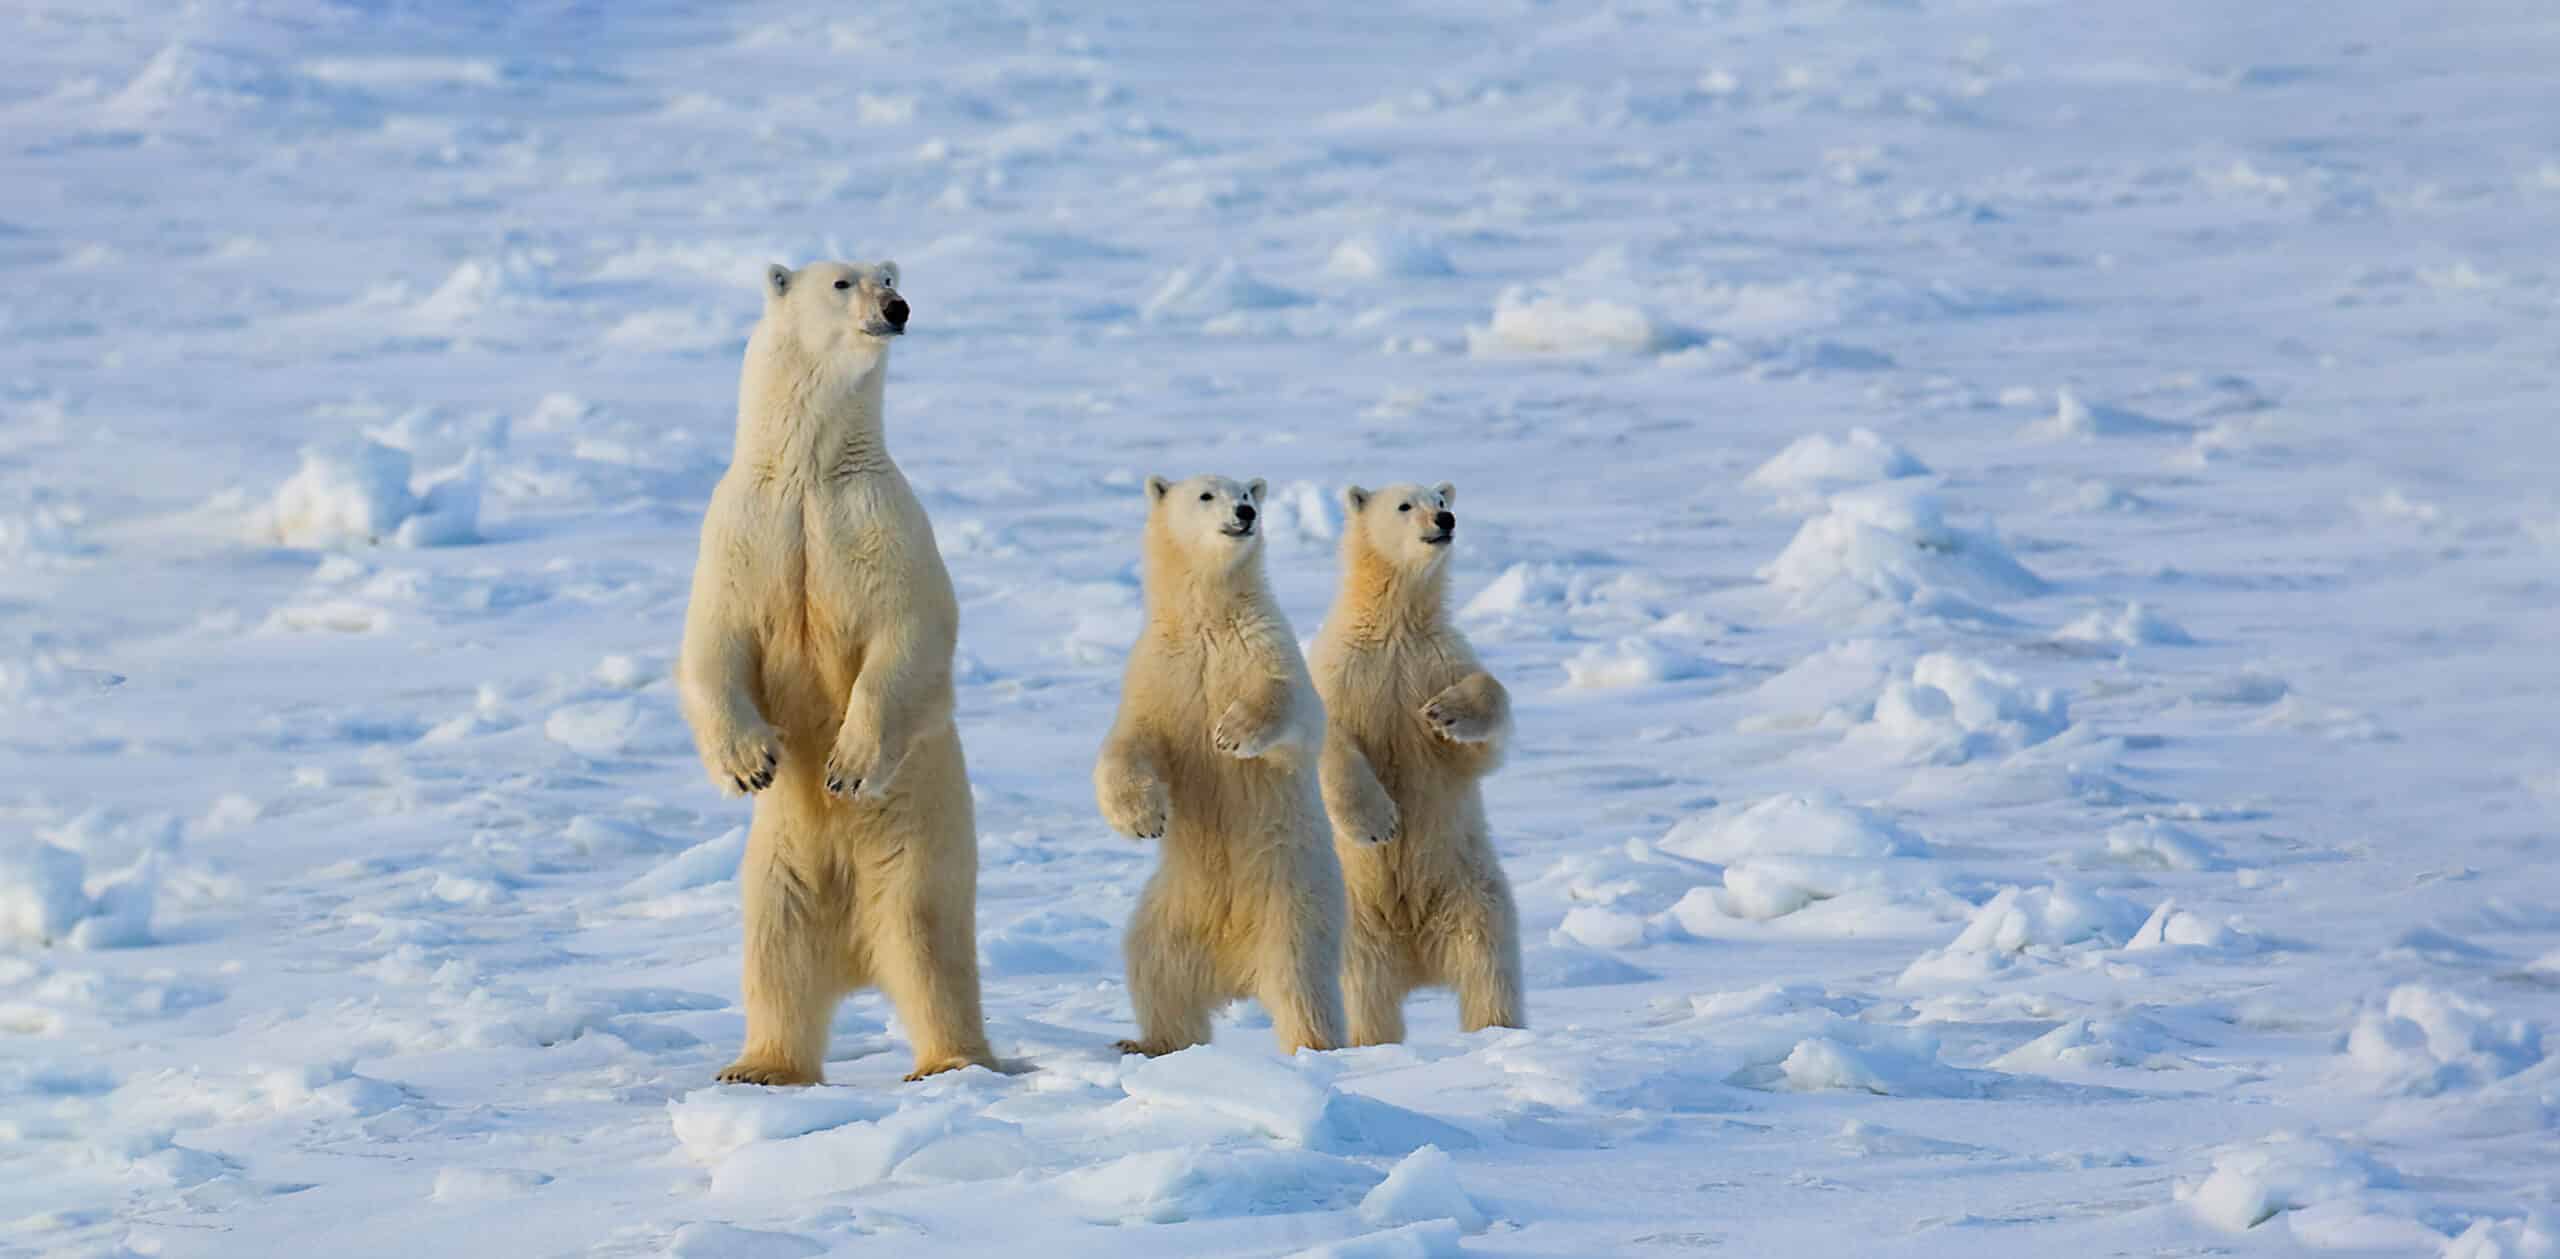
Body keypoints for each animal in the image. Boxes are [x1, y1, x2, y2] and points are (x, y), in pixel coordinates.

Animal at [675, 259, 997, 1086]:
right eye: (842, 282)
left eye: (890, 274)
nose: (897, 307)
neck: (809, 470)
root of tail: (854, 957)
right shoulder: (746, 524)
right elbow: (713, 640)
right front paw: (750, 762)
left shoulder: (878, 521)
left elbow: (907, 633)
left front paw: (847, 764)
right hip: (780, 864)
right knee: (776, 952)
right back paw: (759, 1065)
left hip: (917, 845)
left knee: (925, 943)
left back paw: (948, 1060)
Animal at [1093, 474, 1349, 1056]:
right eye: (1207, 495)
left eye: (1246, 492)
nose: (1246, 512)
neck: (1208, 616)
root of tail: (1235, 972)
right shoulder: (1161, 670)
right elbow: (1132, 743)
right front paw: (1143, 819)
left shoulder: (1263, 645)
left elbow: (1296, 711)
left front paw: (1232, 732)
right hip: (1172, 913)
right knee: (1156, 969)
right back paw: (1146, 1043)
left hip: (1294, 903)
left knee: (1300, 984)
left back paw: (1312, 1047)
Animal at [1309, 481, 1524, 1045]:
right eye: (1406, 505)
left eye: (1441, 499)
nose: (1445, 520)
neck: (1394, 624)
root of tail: (1417, 958)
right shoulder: (1344, 669)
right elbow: (1328, 740)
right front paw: (1379, 823)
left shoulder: (1436, 658)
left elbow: (1484, 730)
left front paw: (1446, 713)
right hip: (1358, 925)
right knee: (1367, 996)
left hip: (1473, 894)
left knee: (1488, 968)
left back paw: (1495, 1030)